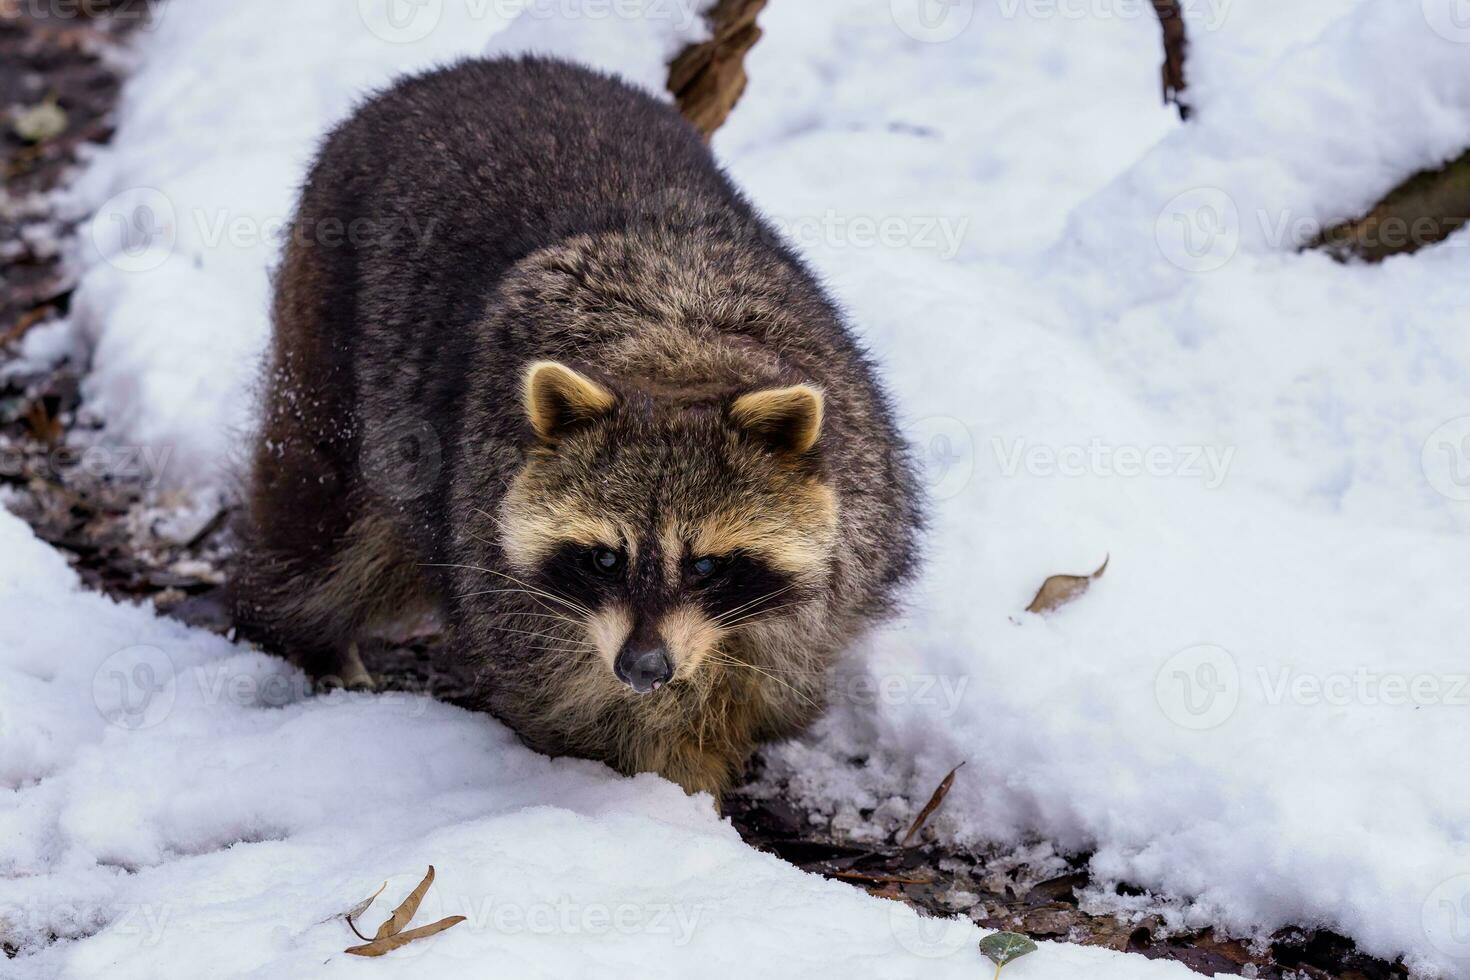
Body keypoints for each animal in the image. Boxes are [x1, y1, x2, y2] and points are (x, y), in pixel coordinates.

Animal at [232, 55, 917, 799]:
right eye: (604, 558)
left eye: (706, 563)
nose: (644, 668)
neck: (676, 353)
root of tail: (467, 70)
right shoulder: (502, 568)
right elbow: (589, 705)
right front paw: (655, 789)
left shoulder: (849, 530)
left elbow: (768, 668)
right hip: (329, 325)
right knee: (322, 522)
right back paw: (308, 630)